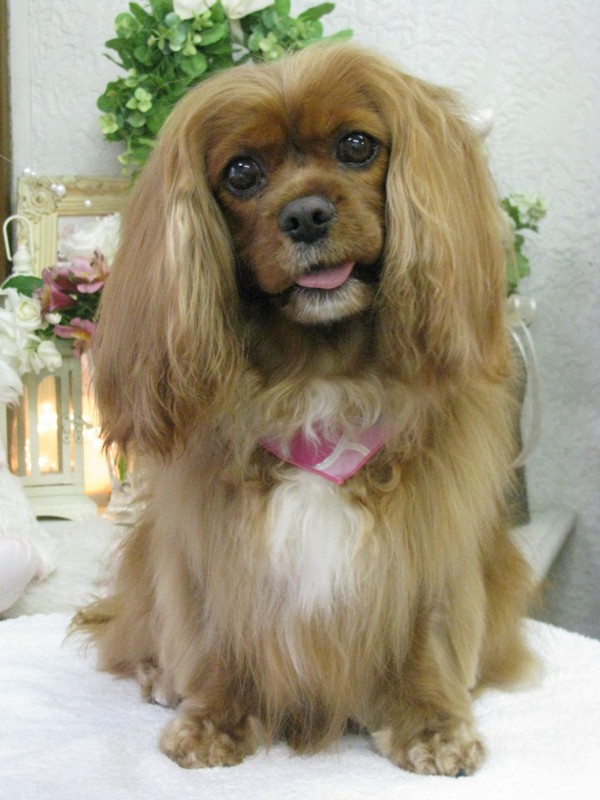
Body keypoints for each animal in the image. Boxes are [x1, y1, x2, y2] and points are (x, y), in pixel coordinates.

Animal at [75, 43, 535, 776]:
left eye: (356, 145)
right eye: (241, 173)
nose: (306, 215)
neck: (319, 376)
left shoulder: (429, 534)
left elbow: (424, 633)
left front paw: (433, 722)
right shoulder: (216, 543)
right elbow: (218, 631)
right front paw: (215, 716)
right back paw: (162, 677)